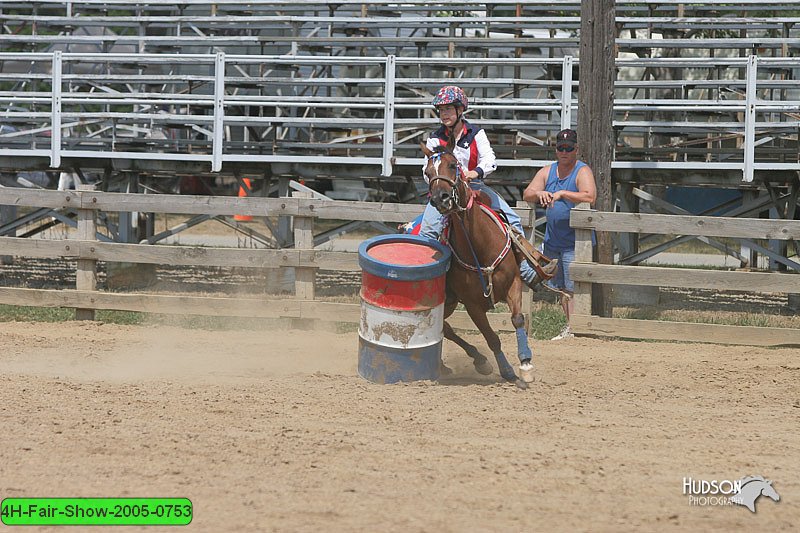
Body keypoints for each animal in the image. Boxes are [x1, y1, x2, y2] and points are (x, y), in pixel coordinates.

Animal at [422, 143, 536, 388]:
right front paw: (506, 371)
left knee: (443, 327)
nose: (440, 198)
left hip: (450, 302)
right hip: (448, 300)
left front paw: (525, 364)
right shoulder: (472, 304)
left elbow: (517, 319)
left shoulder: (513, 284)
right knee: (443, 328)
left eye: (453, 165)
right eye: (427, 172)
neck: (479, 246)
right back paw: (476, 361)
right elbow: (492, 338)